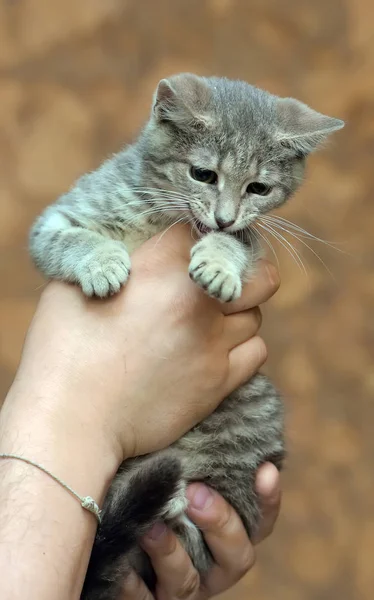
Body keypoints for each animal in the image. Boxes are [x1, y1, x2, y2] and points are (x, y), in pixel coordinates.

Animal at [29, 75, 344, 600]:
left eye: (258, 188)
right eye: (203, 174)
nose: (223, 216)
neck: (164, 213)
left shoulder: (251, 240)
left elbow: (236, 244)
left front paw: (217, 261)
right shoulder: (61, 216)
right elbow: (67, 238)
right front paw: (101, 262)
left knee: (199, 540)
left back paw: (175, 508)